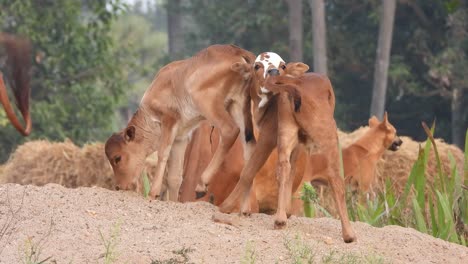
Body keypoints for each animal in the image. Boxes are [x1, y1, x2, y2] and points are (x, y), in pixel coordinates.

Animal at [105, 45, 256, 201]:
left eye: (117, 157)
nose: (119, 186)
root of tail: (239, 53)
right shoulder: (180, 138)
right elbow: (175, 177)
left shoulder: (169, 120)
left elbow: (162, 154)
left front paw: (153, 193)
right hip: (238, 106)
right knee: (250, 146)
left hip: (210, 105)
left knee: (230, 131)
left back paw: (202, 184)